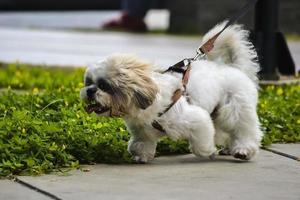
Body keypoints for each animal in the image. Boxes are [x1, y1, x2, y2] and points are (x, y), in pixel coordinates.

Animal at [79, 22, 262, 162]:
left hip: (235, 109)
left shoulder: (196, 119)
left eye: (105, 86)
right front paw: (141, 155)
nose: (90, 91)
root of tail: (235, 68)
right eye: (88, 82)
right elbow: (140, 144)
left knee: (245, 130)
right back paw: (229, 148)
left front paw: (209, 151)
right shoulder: (141, 131)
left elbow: (201, 143)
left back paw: (243, 149)